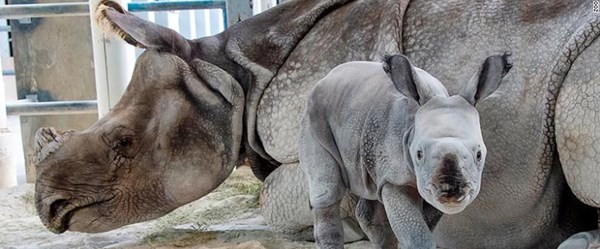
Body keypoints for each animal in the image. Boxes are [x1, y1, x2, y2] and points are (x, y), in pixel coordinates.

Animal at [300, 53, 510, 248]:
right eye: (418, 154)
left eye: (479, 155)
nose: (451, 192)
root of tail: (326, 77)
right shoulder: (395, 178)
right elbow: (417, 236)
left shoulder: (426, 185)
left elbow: (422, 224)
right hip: (314, 115)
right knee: (327, 189)